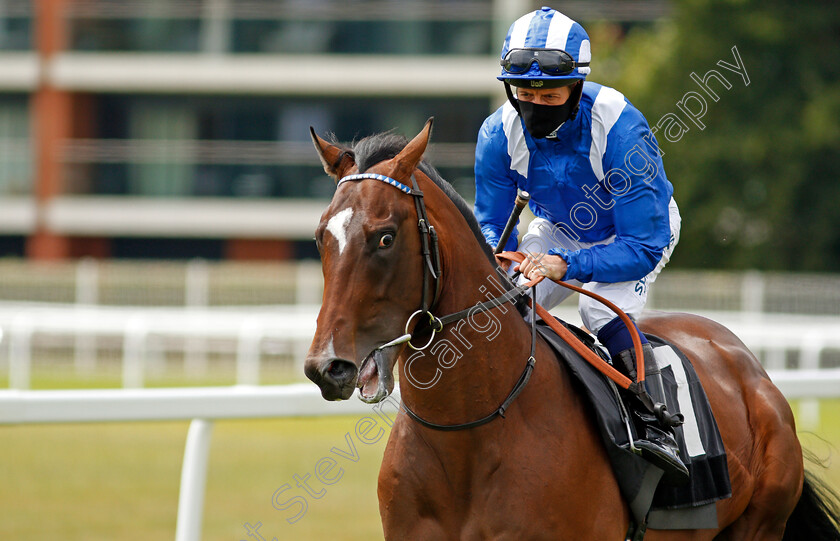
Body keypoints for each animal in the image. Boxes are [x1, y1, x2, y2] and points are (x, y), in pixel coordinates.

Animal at [306, 120, 836, 536]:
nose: (327, 366)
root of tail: (750, 369)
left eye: (385, 237)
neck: (469, 435)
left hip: (760, 522)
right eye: (319, 236)